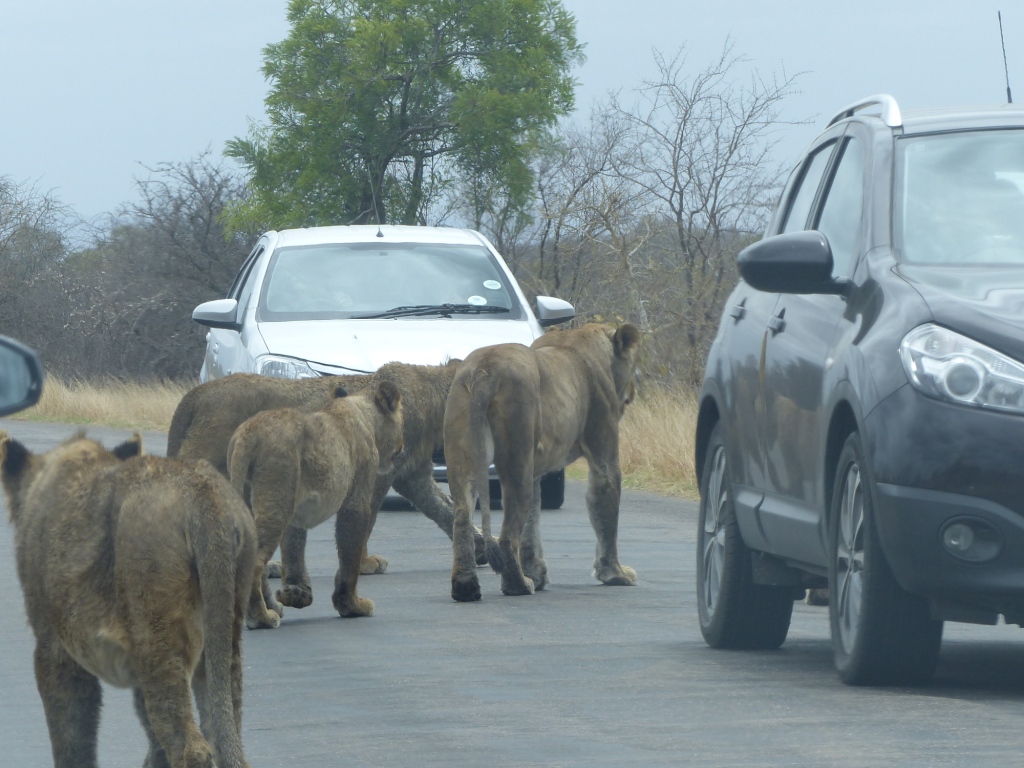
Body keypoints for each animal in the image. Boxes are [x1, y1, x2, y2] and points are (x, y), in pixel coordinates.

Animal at [0, 430, 257, 768]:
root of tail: (201, 493)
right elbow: (151, 738)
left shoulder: (54, 648)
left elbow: (71, 739)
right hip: (223, 636)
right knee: (223, 729)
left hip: (155, 639)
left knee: (189, 743)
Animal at [227, 381, 403, 628]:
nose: (403, 448)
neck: (362, 413)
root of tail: (247, 434)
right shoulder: (356, 501)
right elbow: (350, 556)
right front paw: (351, 606)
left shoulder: (297, 509)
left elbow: (294, 548)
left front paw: (297, 593)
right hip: (276, 501)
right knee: (256, 562)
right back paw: (261, 617)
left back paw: (273, 607)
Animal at [444, 322, 642, 602]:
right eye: (634, 367)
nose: (633, 394)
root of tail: (484, 370)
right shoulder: (604, 456)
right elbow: (605, 513)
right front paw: (615, 574)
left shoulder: (536, 470)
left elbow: (532, 524)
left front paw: (536, 574)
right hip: (517, 454)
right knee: (507, 536)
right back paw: (518, 586)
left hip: (465, 456)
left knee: (462, 518)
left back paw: (466, 588)